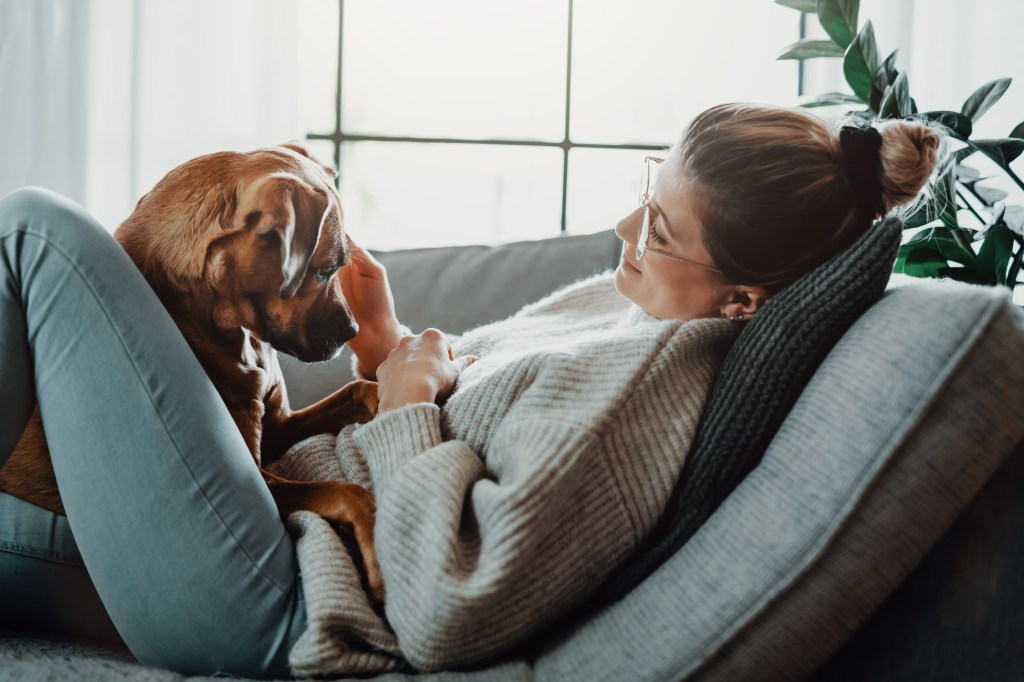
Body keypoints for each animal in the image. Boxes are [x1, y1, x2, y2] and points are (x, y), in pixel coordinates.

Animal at [1, 142, 385, 593]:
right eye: (326, 269)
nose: (353, 329)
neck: (234, 330)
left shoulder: (277, 427)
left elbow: (353, 392)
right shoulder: (260, 481)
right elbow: (344, 491)